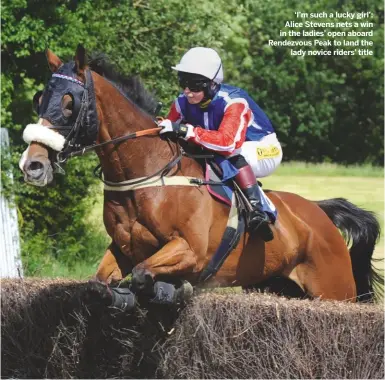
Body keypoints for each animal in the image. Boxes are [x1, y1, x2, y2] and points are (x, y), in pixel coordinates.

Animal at [20, 45, 380, 306]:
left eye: (69, 102)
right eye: (40, 99)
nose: (32, 165)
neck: (147, 176)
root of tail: (319, 212)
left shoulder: (189, 251)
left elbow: (143, 275)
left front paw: (170, 290)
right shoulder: (123, 248)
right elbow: (98, 285)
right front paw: (125, 296)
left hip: (334, 290)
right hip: (274, 284)